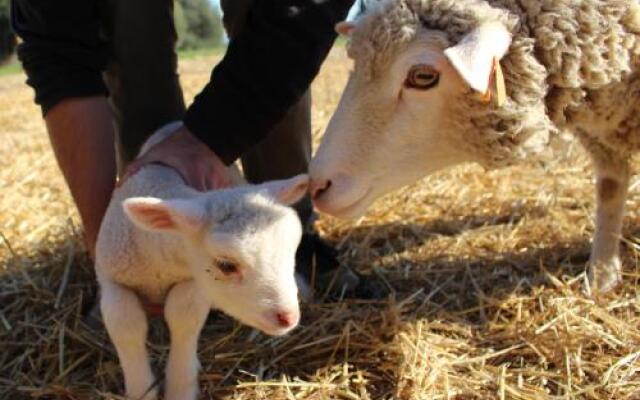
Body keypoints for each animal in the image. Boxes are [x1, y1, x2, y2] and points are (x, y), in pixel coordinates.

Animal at [94, 122, 308, 400]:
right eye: (226, 265)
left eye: (292, 249)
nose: (288, 318)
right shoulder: (112, 279)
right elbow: (125, 326)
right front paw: (141, 389)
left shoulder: (192, 280)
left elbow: (184, 318)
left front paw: (180, 387)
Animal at [308, 0, 640, 294]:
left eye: (423, 76)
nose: (318, 185)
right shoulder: (603, 139)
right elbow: (610, 189)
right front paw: (602, 278)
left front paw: (602, 275)